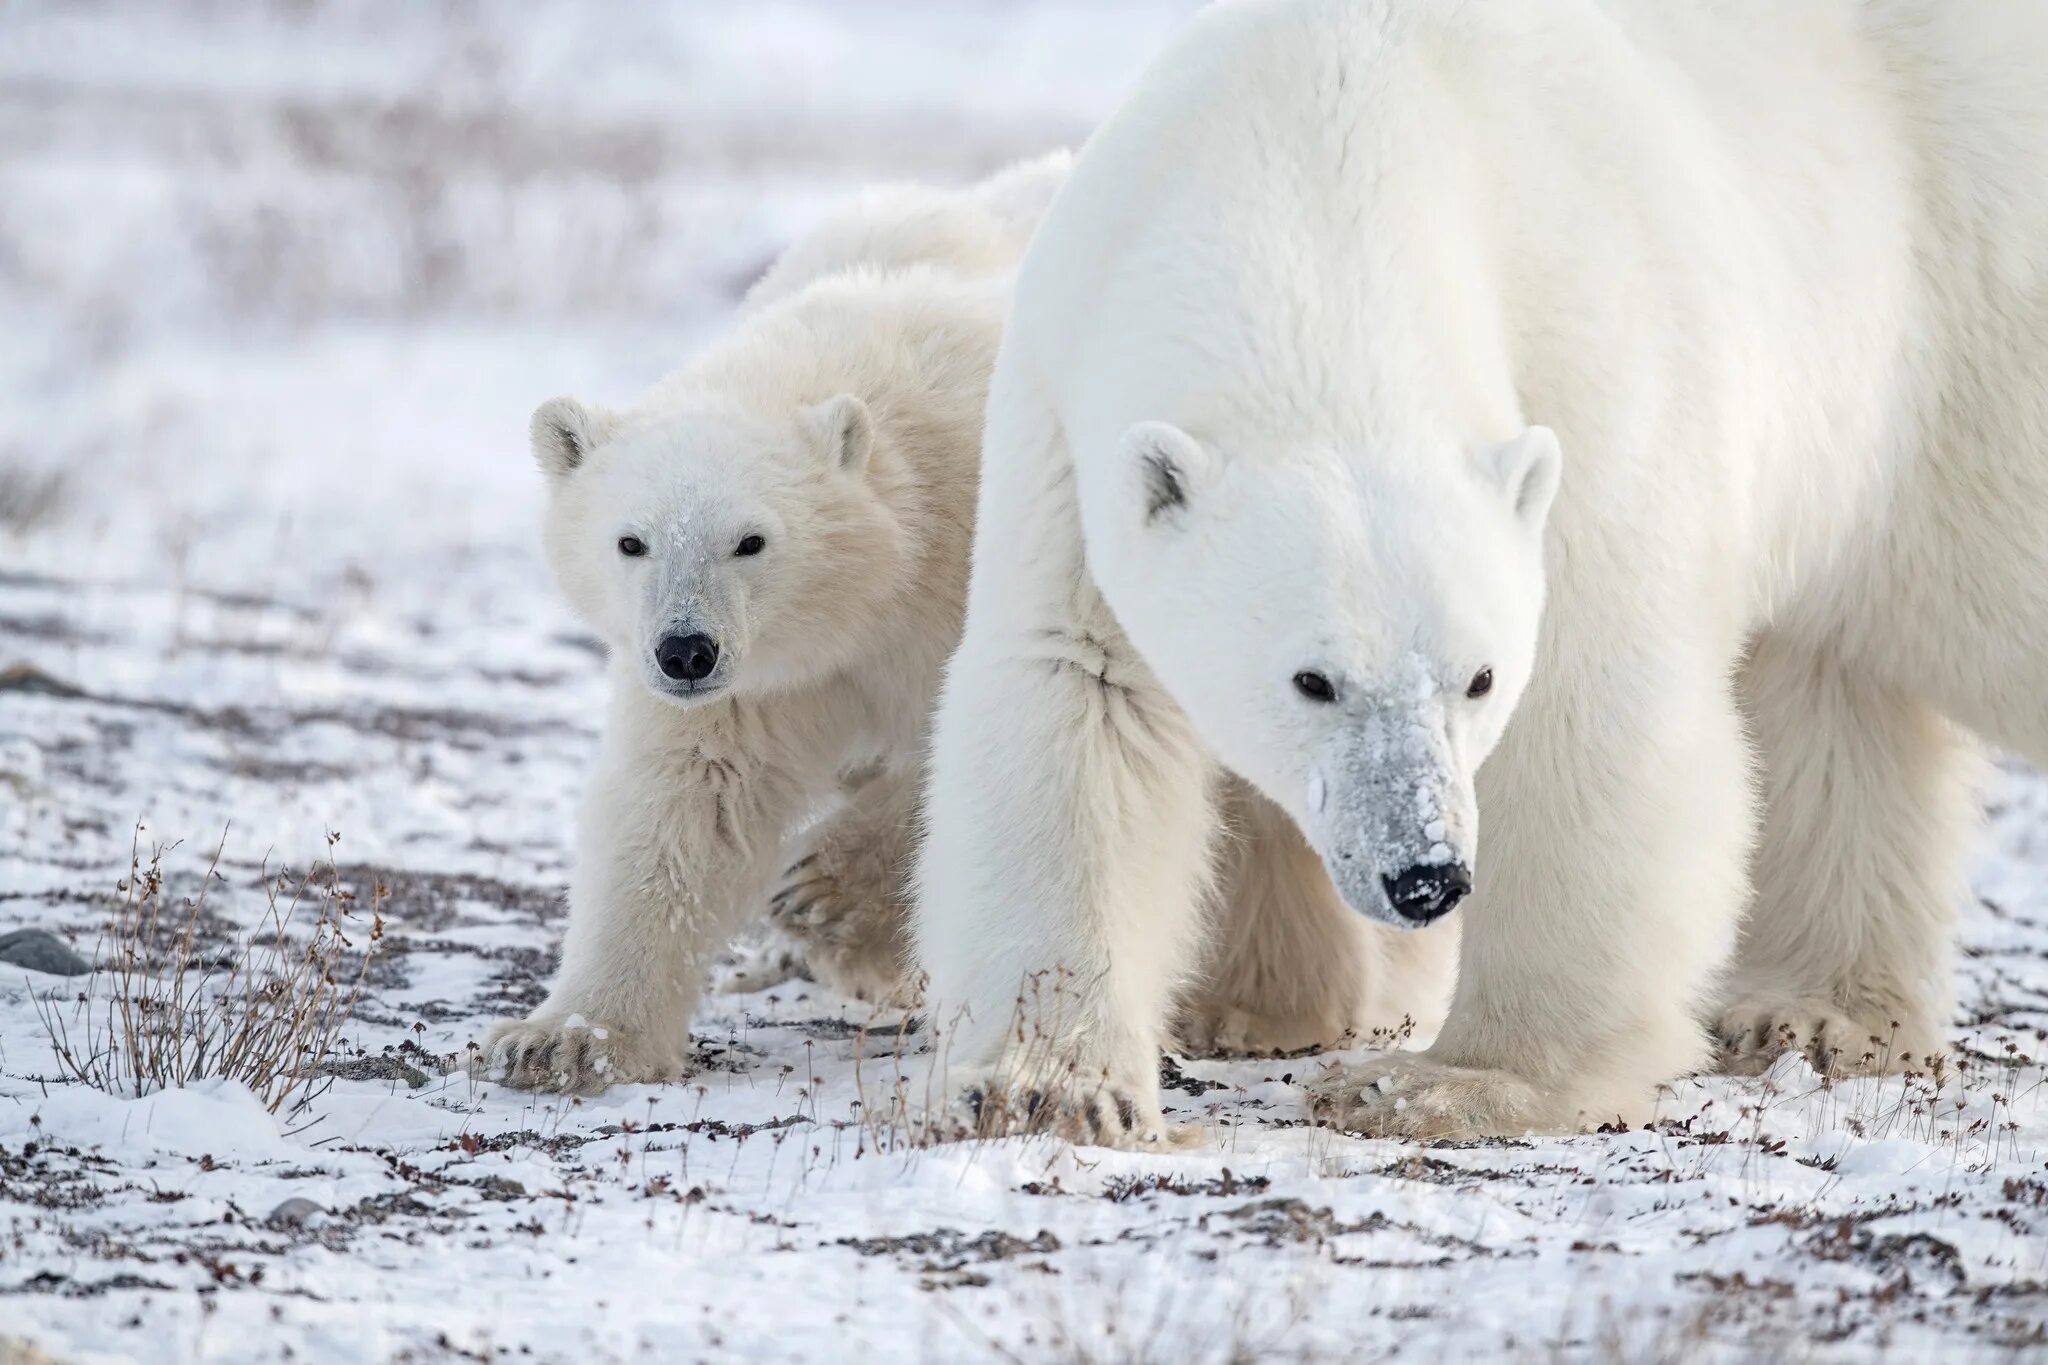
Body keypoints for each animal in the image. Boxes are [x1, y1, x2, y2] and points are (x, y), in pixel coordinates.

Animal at [485, 152, 1449, 1088]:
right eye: (631, 540)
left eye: (751, 540)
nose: (685, 650)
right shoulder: (763, 675)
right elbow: (686, 798)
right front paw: (564, 1039)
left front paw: (822, 889)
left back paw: (1255, 1006)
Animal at [921, 0, 2048, 1146]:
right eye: (1312, 679)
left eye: (1478, 677)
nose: (1422, 876)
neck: (1330, 143)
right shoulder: (1068, 413)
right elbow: (1078, 692)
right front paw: (1048, 1086)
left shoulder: (1596, 374)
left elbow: (1588, 706)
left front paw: (1444, 1080)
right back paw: (1813, 1015)